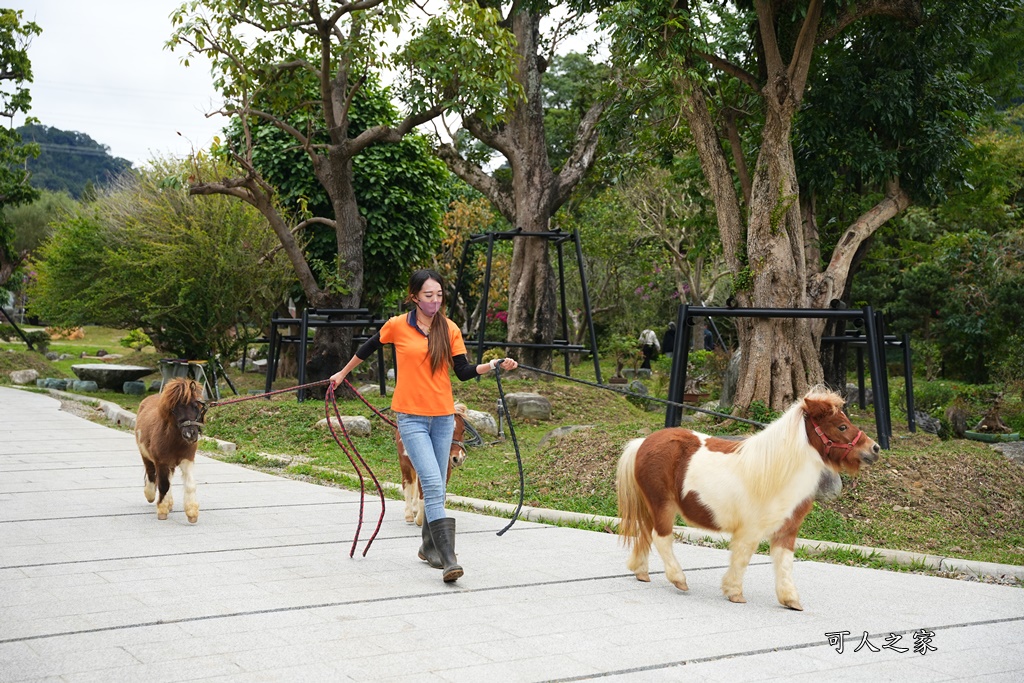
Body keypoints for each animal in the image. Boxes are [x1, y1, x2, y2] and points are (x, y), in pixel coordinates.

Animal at [136, 378, 207, 524]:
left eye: (195, 406)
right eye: (174, 409)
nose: (190, 434)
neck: (175, 441)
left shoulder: (187, 459)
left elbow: (190, 484)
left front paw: (192, 513)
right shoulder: (161, 461)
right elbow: (163, 485)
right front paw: (162, 510)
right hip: (145, 455)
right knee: (151, 474)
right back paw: (150, 495)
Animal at [614, 387, 880, 610]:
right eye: (841, 426)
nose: (874, 448)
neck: (778, 472)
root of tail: (643, 442)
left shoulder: (787, 531)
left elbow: (784, 563)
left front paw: (790, 599)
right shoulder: (750, 530)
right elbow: (742, 558)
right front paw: (734, 592)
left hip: (652, 506)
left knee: (645, 533)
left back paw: (641, 572)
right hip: (663, 506)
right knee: (662, 538)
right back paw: (678, 579)